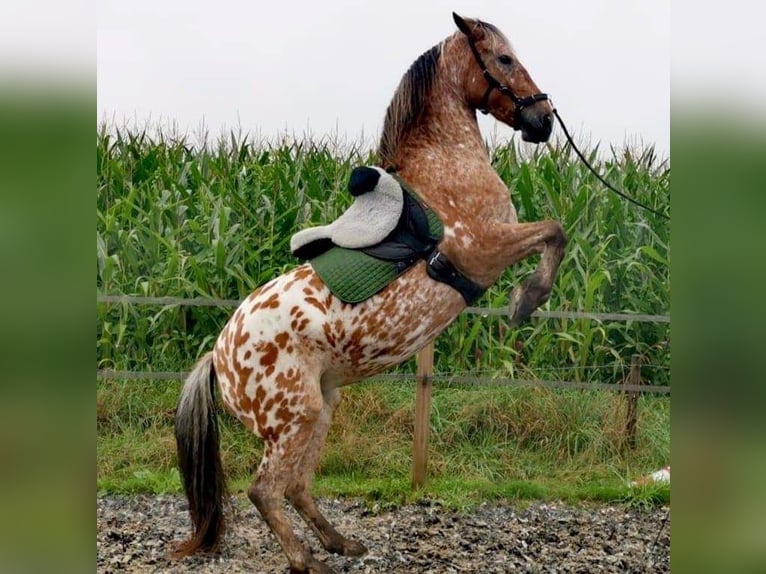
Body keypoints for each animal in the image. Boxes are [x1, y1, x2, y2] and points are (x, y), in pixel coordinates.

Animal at [177, 13, 568, 574]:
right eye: (504, 59)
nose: (544, 119)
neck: (446, 173)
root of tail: (218, 358)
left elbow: (555, 232)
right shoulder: (486, 248)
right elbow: (555, 231)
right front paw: (526, 300)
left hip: (322, 408)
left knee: (296, 486)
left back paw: (341, 543)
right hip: (294, 419)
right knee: (265, 490)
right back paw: (307, 560)